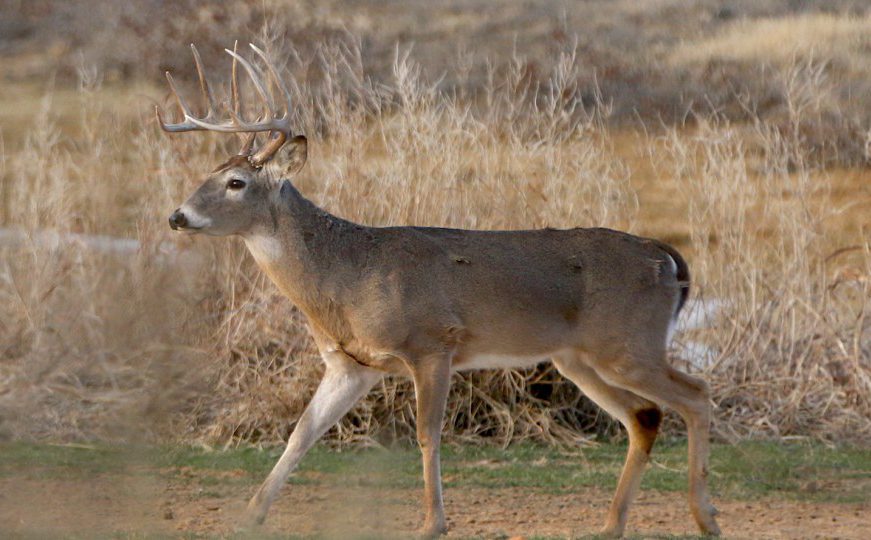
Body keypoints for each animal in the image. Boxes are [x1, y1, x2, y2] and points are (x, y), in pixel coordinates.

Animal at [157, 44, 724, 536]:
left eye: (236, 183)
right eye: (208, 173)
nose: (177, 216)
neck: (344, 276)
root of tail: (665, 256)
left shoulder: (432, 343)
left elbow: (427, 434)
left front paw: (432, 523)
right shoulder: (350, 364)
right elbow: (302, 432)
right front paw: (248, 516)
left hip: (627, 343)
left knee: (696, 395)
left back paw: (705, 518)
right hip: (577, 358)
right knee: (645, 416)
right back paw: (611, 525)